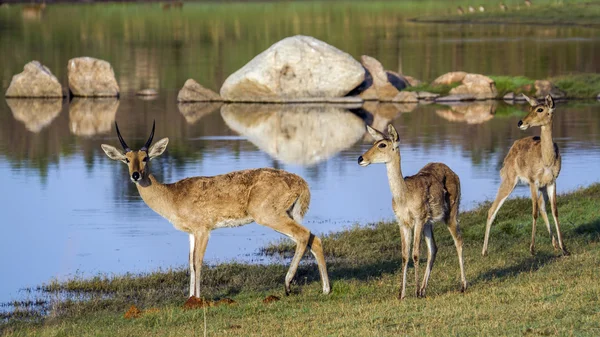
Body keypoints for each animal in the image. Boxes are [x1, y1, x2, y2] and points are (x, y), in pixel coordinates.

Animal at [100, 121, 330, 296]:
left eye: (145, 158)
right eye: (126, 159)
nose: (135, 175)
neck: (172, 195)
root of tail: (301, 182)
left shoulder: (204, 230)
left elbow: (198, 262)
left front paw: (197, 298)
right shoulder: (191, 233)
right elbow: (189, 263)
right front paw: (189, 298)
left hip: (269, 215)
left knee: (303, 236)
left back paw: (288, 285)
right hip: (289, 214)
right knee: (314, 238)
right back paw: (325, 289)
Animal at [358, 124, 466, 300]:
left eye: (382, 145)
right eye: (374, 142)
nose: (360, 158)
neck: (404, 196)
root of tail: (454, 173)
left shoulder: (418, 218)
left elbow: (415, 253)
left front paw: (413, 292)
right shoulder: (402, 221)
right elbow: (404, 255)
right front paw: (401, 294)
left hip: (451, 210)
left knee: (458, 240)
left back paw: (463, 286)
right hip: (429, 222)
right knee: (433, 248)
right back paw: (423, 289)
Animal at [480, 95, 568, 258]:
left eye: (540, 109)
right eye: (530, 107)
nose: (520, 122)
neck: (547, 160)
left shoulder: (552, 181)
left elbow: (554, 210)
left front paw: (564, 249)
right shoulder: (533, 182)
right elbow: (533, 212)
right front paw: (532, 249)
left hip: (540, 187)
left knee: (541, 205)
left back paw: (554, 245)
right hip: (509, 180)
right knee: (492, 209)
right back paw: (484, 251)